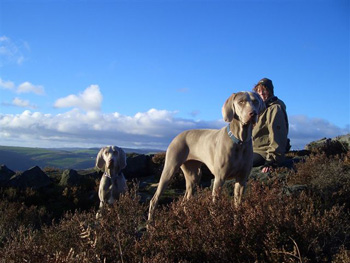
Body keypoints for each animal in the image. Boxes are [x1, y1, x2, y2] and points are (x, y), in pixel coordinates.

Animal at [148, 92, 266, 222]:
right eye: (241, 102)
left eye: (255, 102)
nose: (253, 113)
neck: (240, 141)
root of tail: (177, 136)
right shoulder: (219, 179)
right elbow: (215, 207)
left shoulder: (242, 180)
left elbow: (238, 206)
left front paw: (237, 223)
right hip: (170, 169)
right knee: (154, 199)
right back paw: (150, 224)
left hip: (194, 175)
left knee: (185, 200)